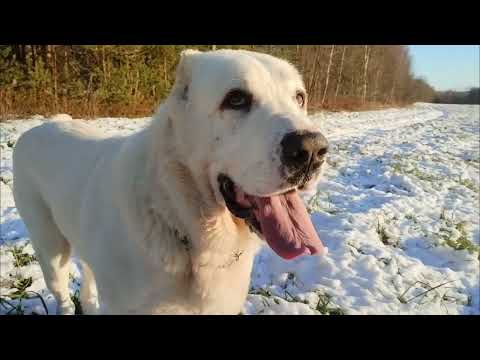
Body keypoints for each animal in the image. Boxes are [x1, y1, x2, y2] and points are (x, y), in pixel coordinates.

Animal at [11, 49, 328, 314]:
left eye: (299, 98)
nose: (312, 150)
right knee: (64, 297)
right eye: (236, 99)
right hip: (51, 253)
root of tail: (47, 123)